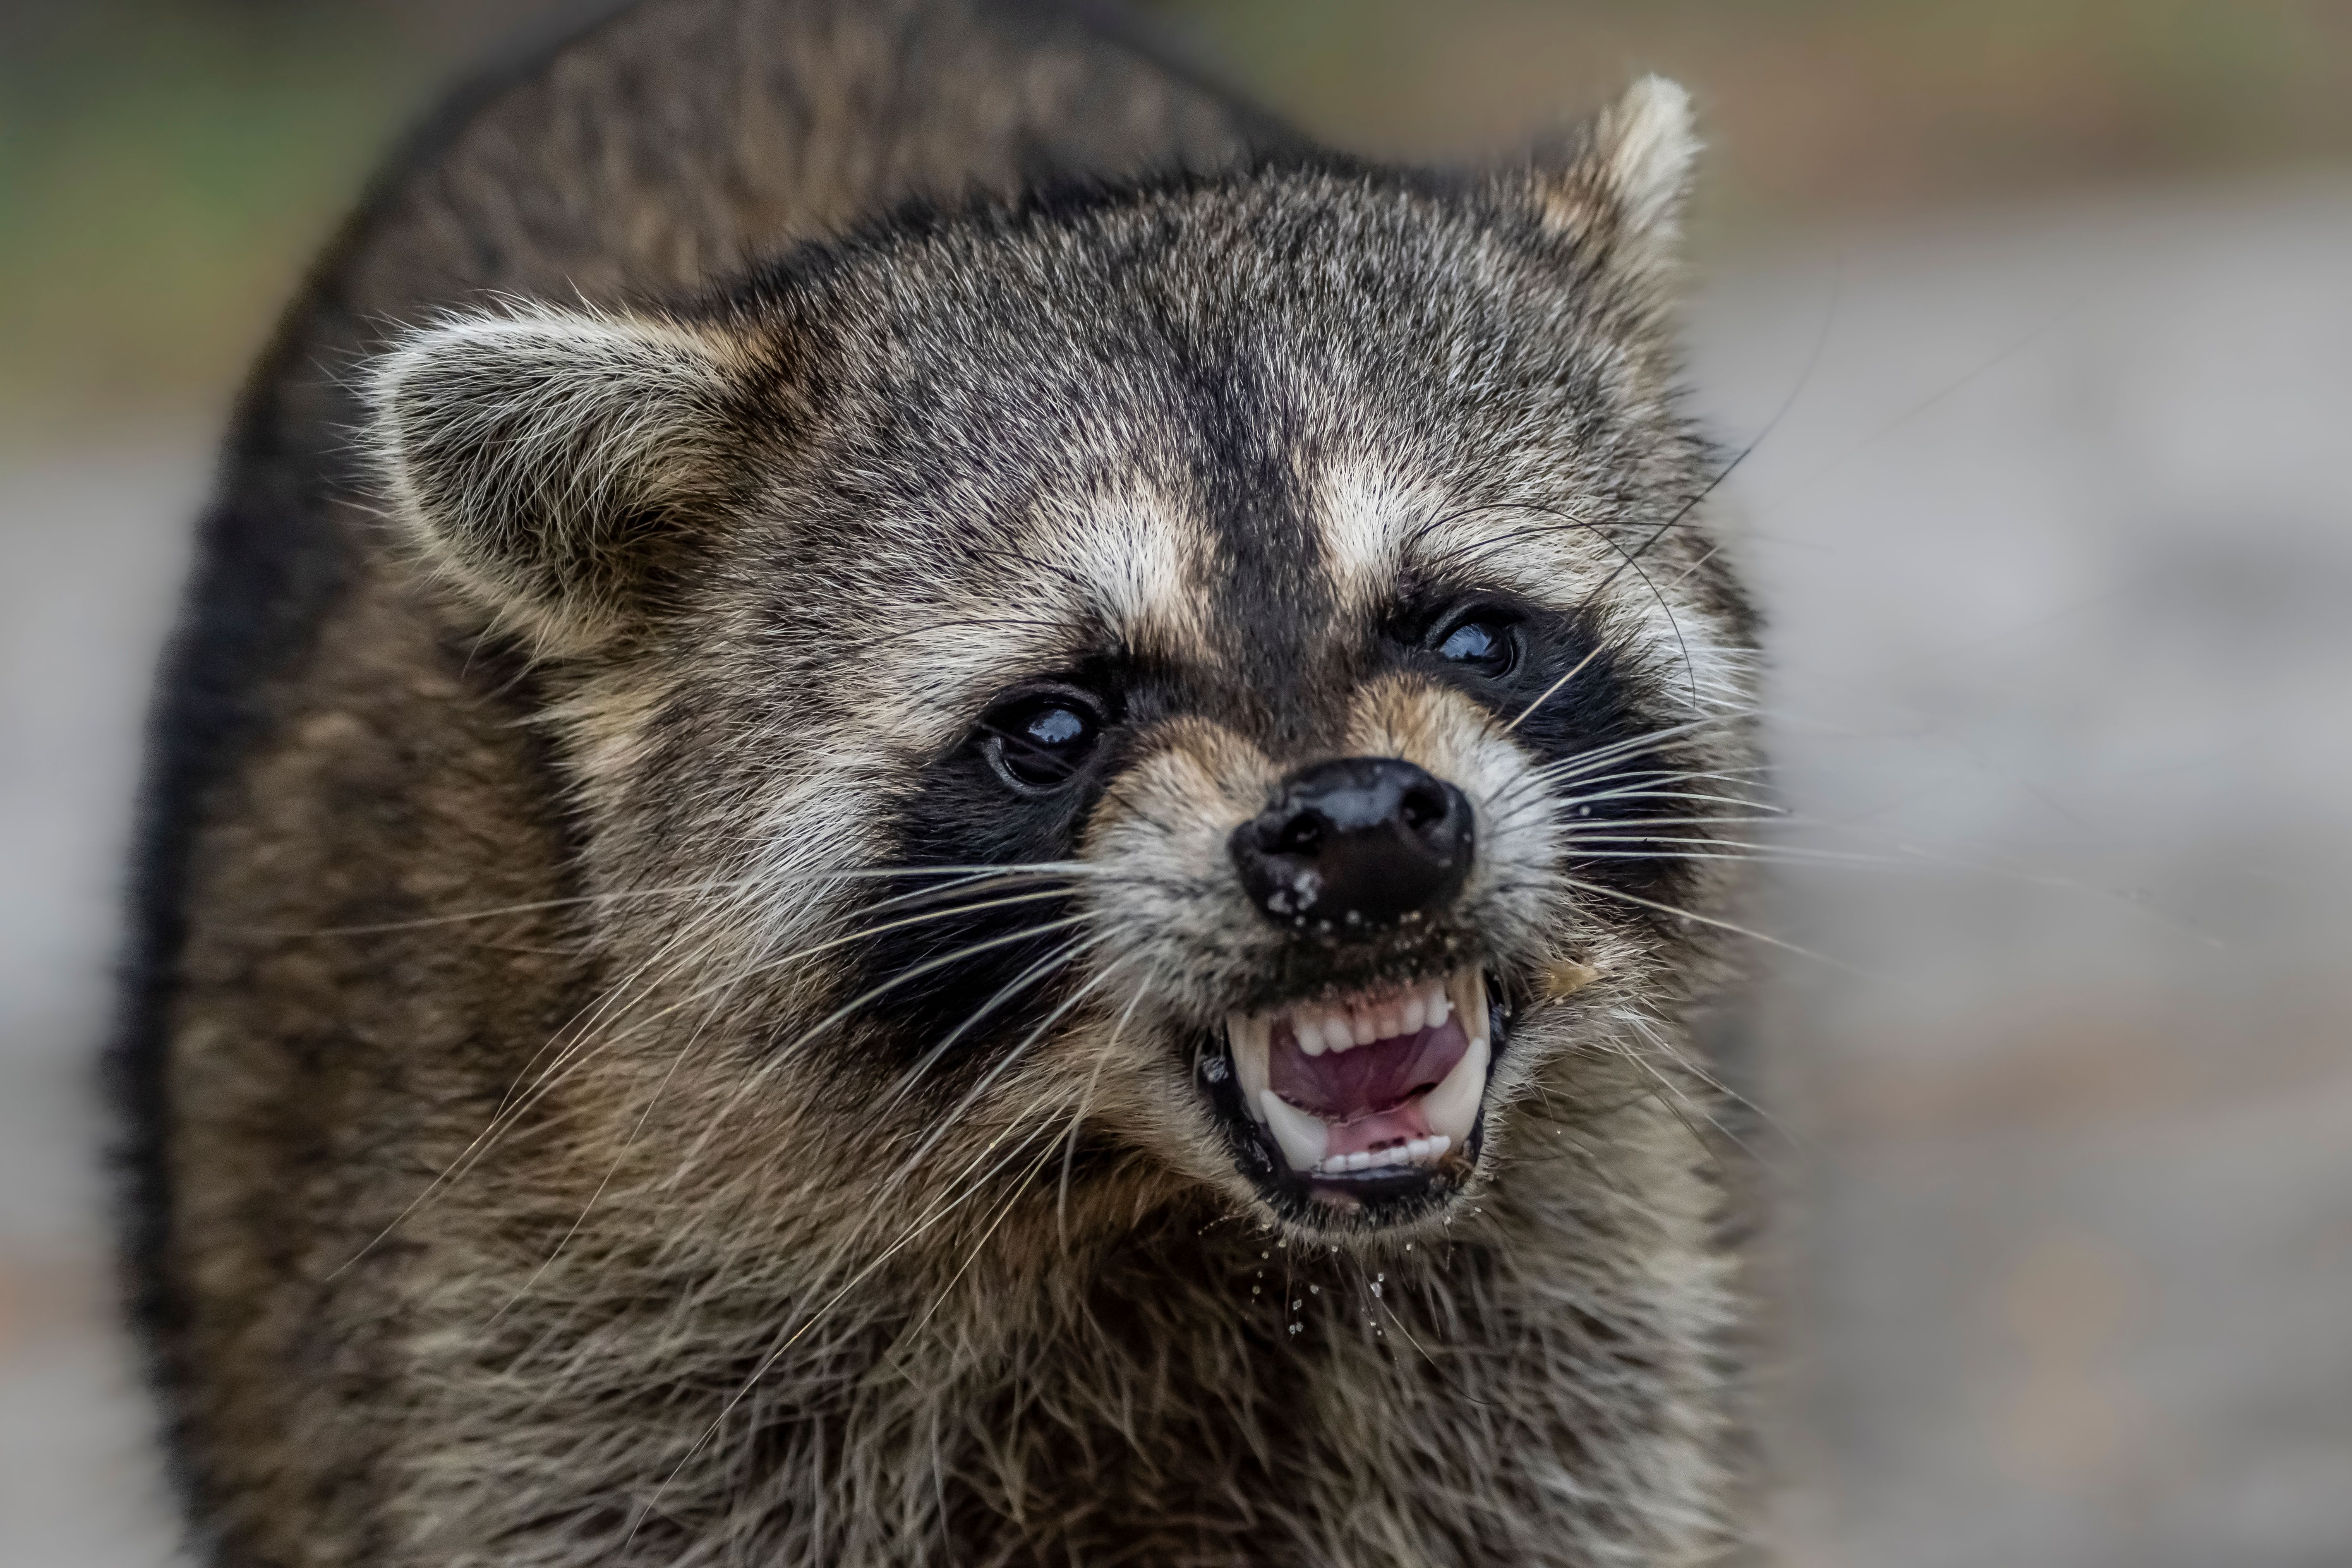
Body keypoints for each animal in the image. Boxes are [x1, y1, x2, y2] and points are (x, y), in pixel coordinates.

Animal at [117, 0, 1764, 1562]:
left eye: (1472, 636)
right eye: (1053, 727)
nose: (1360, 830)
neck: (1142, 1197)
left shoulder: (1535, 1339)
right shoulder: (548, 1356)